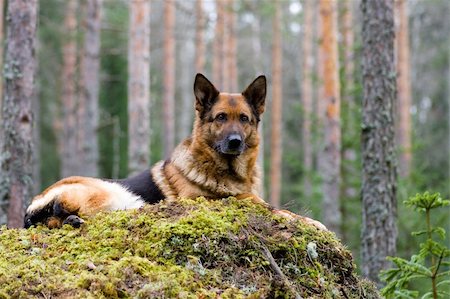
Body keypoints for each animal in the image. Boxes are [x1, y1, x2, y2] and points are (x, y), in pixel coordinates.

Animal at [24, 74, 326, 231]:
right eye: (220, 118)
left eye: (244, 119)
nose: (235, 142)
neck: (227, 172)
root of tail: (36, 200)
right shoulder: (202, 200)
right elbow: (258, 202)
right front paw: (304, 219)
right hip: (106, 194)